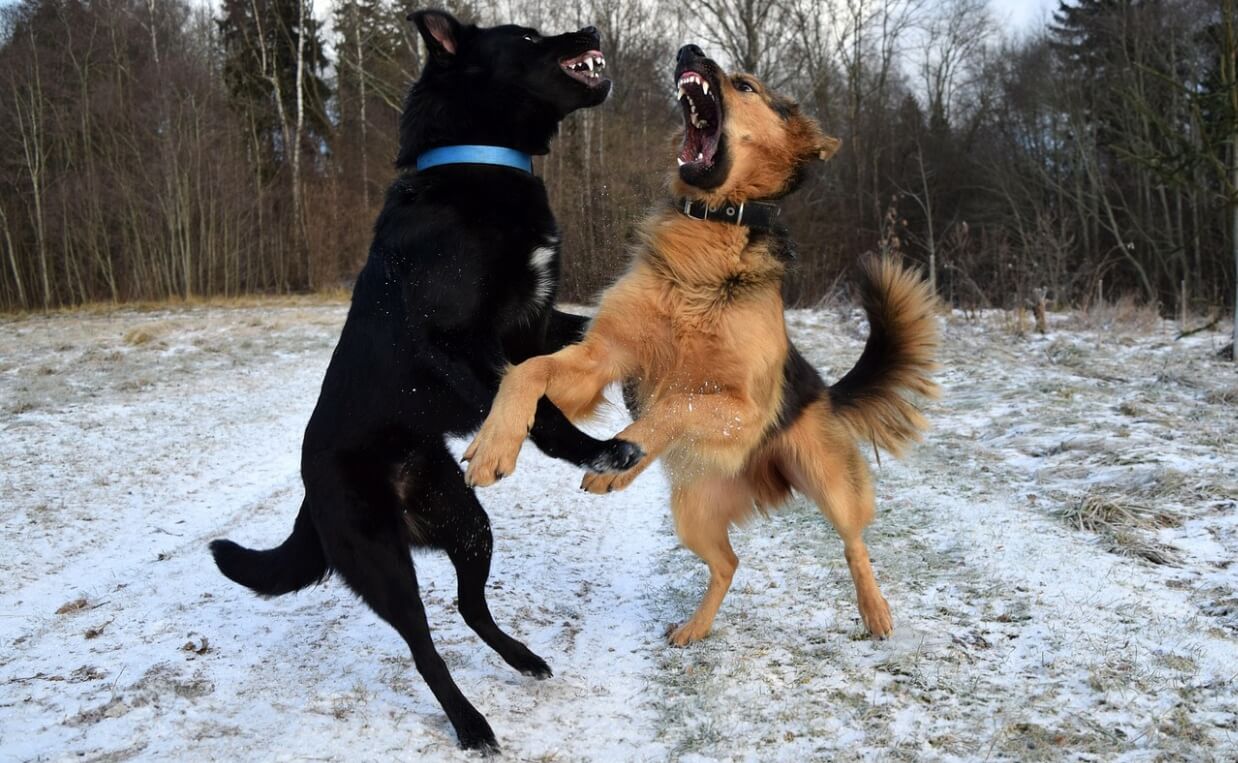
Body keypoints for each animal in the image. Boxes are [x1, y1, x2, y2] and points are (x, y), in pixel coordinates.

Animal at [210, 8, 638, 753]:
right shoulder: (460, 341)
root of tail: (309, 491)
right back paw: (470, 723)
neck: (473, 159)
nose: (589, 27)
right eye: (527, 37)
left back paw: (522, 658)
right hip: (384, 563)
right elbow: (533, 403)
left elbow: (585, 345)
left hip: (466, 523)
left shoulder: (535, 324)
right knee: (425, 647)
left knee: (470, 608)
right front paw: (598, 450)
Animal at [465, 46, 935, 644]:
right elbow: (528, 371)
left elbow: (677, 402)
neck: (706, 243)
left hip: (829, 484)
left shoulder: (746, 407)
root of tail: (826, 392)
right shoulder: (601, 359)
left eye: (745, 85)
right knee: (728, 563)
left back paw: (875, 611)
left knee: (854, 542)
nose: (691, 50)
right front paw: (495, 444)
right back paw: (692, 622)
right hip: (691, 510)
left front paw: (623, 453)